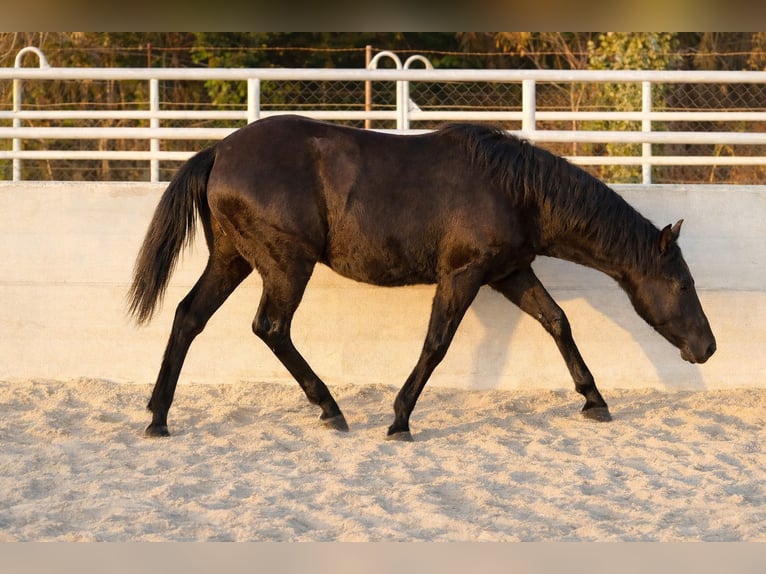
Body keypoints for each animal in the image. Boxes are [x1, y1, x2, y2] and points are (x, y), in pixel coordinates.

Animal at [128, 114, 716, 441]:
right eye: (684, 285)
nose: (707, 348)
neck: (514, 191)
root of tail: (218, 151)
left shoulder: (511, 273)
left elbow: (557, 322)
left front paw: (594, 400)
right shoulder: (463, 275)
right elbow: (437, 344)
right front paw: (399, 419)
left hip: (233, 259)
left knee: (188, 317)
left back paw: (159, 417)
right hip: (284, 265)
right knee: (270, 328)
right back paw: (331, 409)